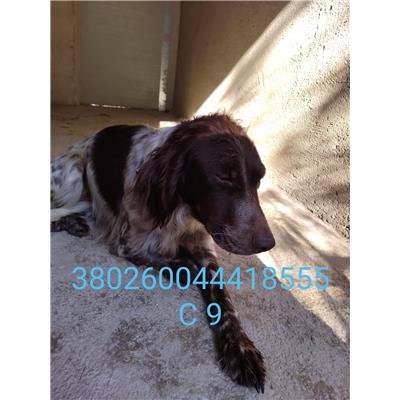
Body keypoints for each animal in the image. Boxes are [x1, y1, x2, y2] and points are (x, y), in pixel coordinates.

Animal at [51, 113, 275, 393]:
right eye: (224, 177)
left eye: (259, 180)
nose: (268, 244)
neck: (182, 213)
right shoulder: (128, 242)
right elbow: (181, 266)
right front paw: (183, 268)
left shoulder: (204, 247)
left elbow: (223, 299)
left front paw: (241, 349)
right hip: (71, 176)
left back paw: (75, 223)